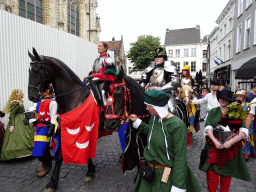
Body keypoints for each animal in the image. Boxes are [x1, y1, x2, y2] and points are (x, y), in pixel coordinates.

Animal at [28, 47, 107, 190]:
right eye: (29, 71)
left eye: (37, 70)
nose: (31, 96)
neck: (74, 97)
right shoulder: (63, 129)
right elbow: (59, 155)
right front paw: (52, 182)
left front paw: (89, 172)